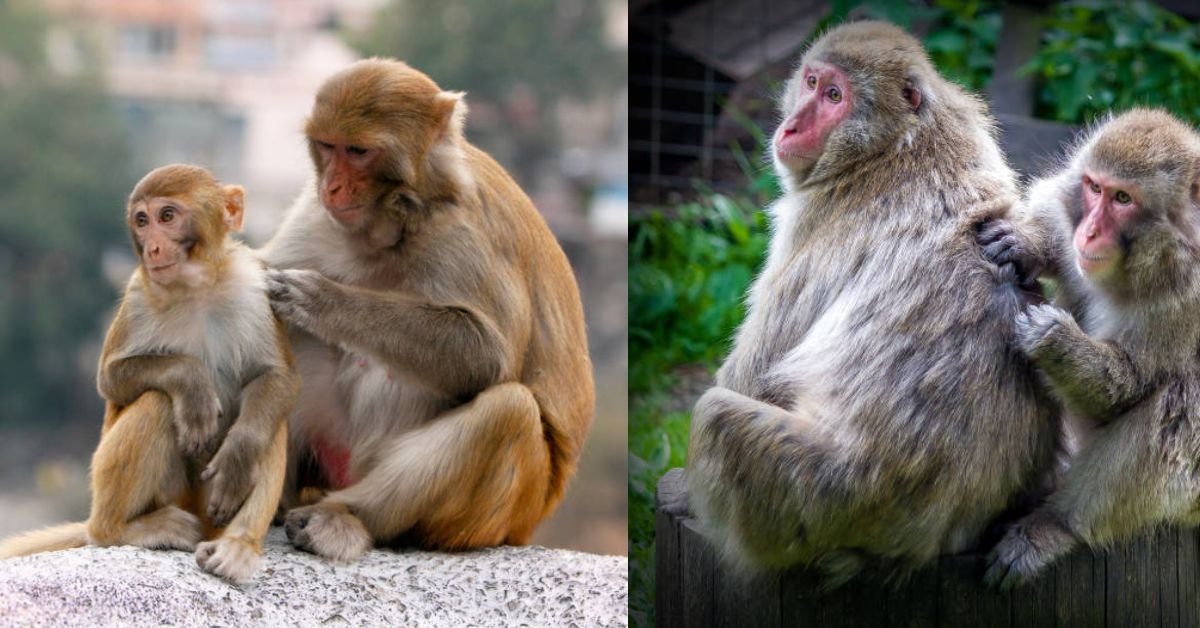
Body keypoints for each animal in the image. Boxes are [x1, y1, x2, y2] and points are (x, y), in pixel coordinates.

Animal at [0, 164, 298, 582]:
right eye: (142, 221)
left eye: (167, 216)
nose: (153, 248)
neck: (197, 285)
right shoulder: (138, 292)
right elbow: (111, 378)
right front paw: (193, 386)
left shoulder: (254, 286)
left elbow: (276, 376)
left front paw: (239, 456)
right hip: (166, 496)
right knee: (157, 401)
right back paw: (119, 529)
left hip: (210, 509)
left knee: (271, 422)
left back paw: (237, 546)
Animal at [259, 58, 593, 561]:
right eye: (326, 146)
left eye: (358, 151)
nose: (331, 187)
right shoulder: (316, 215)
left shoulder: (464, 230)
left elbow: (485, 353)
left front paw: (319, 298)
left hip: (499, 512)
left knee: (508, 412)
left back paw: (344, 518)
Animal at [684, 20, 1060, 584]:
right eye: (812, 81)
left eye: (835, 97)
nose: (791, 127)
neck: (895, 147)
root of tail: (918, 544)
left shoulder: (818, 217)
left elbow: (748, 377)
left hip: (822, 499)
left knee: (715, 416)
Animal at [979, 109, 1200, 588]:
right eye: (1094, 188)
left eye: (1123, 198)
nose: (1090, 231)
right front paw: (1027, 243)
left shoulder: (1188, 300)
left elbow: (1129, 391)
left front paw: (1055, 340)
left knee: (1178, 406)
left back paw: (1057, 525)